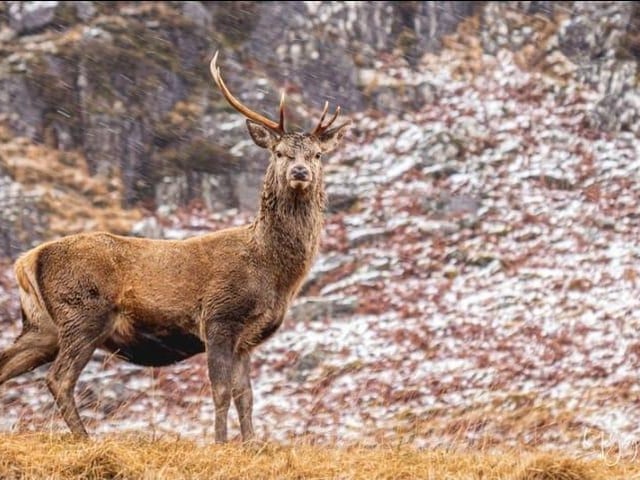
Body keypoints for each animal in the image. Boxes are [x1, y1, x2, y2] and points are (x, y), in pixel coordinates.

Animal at [0, 51, 350, 444]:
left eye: (317, 155)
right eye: (279, 153)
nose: (300, 172)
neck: (272, 272)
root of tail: (27, 260)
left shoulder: (246, 337)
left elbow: (246, 395)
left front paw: (252, 444)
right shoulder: (219, 318)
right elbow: (221, 390)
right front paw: (220, 443)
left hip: (41, 326)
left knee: (7, 365)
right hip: (83, 313)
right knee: (59, 379)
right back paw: (86, 438)